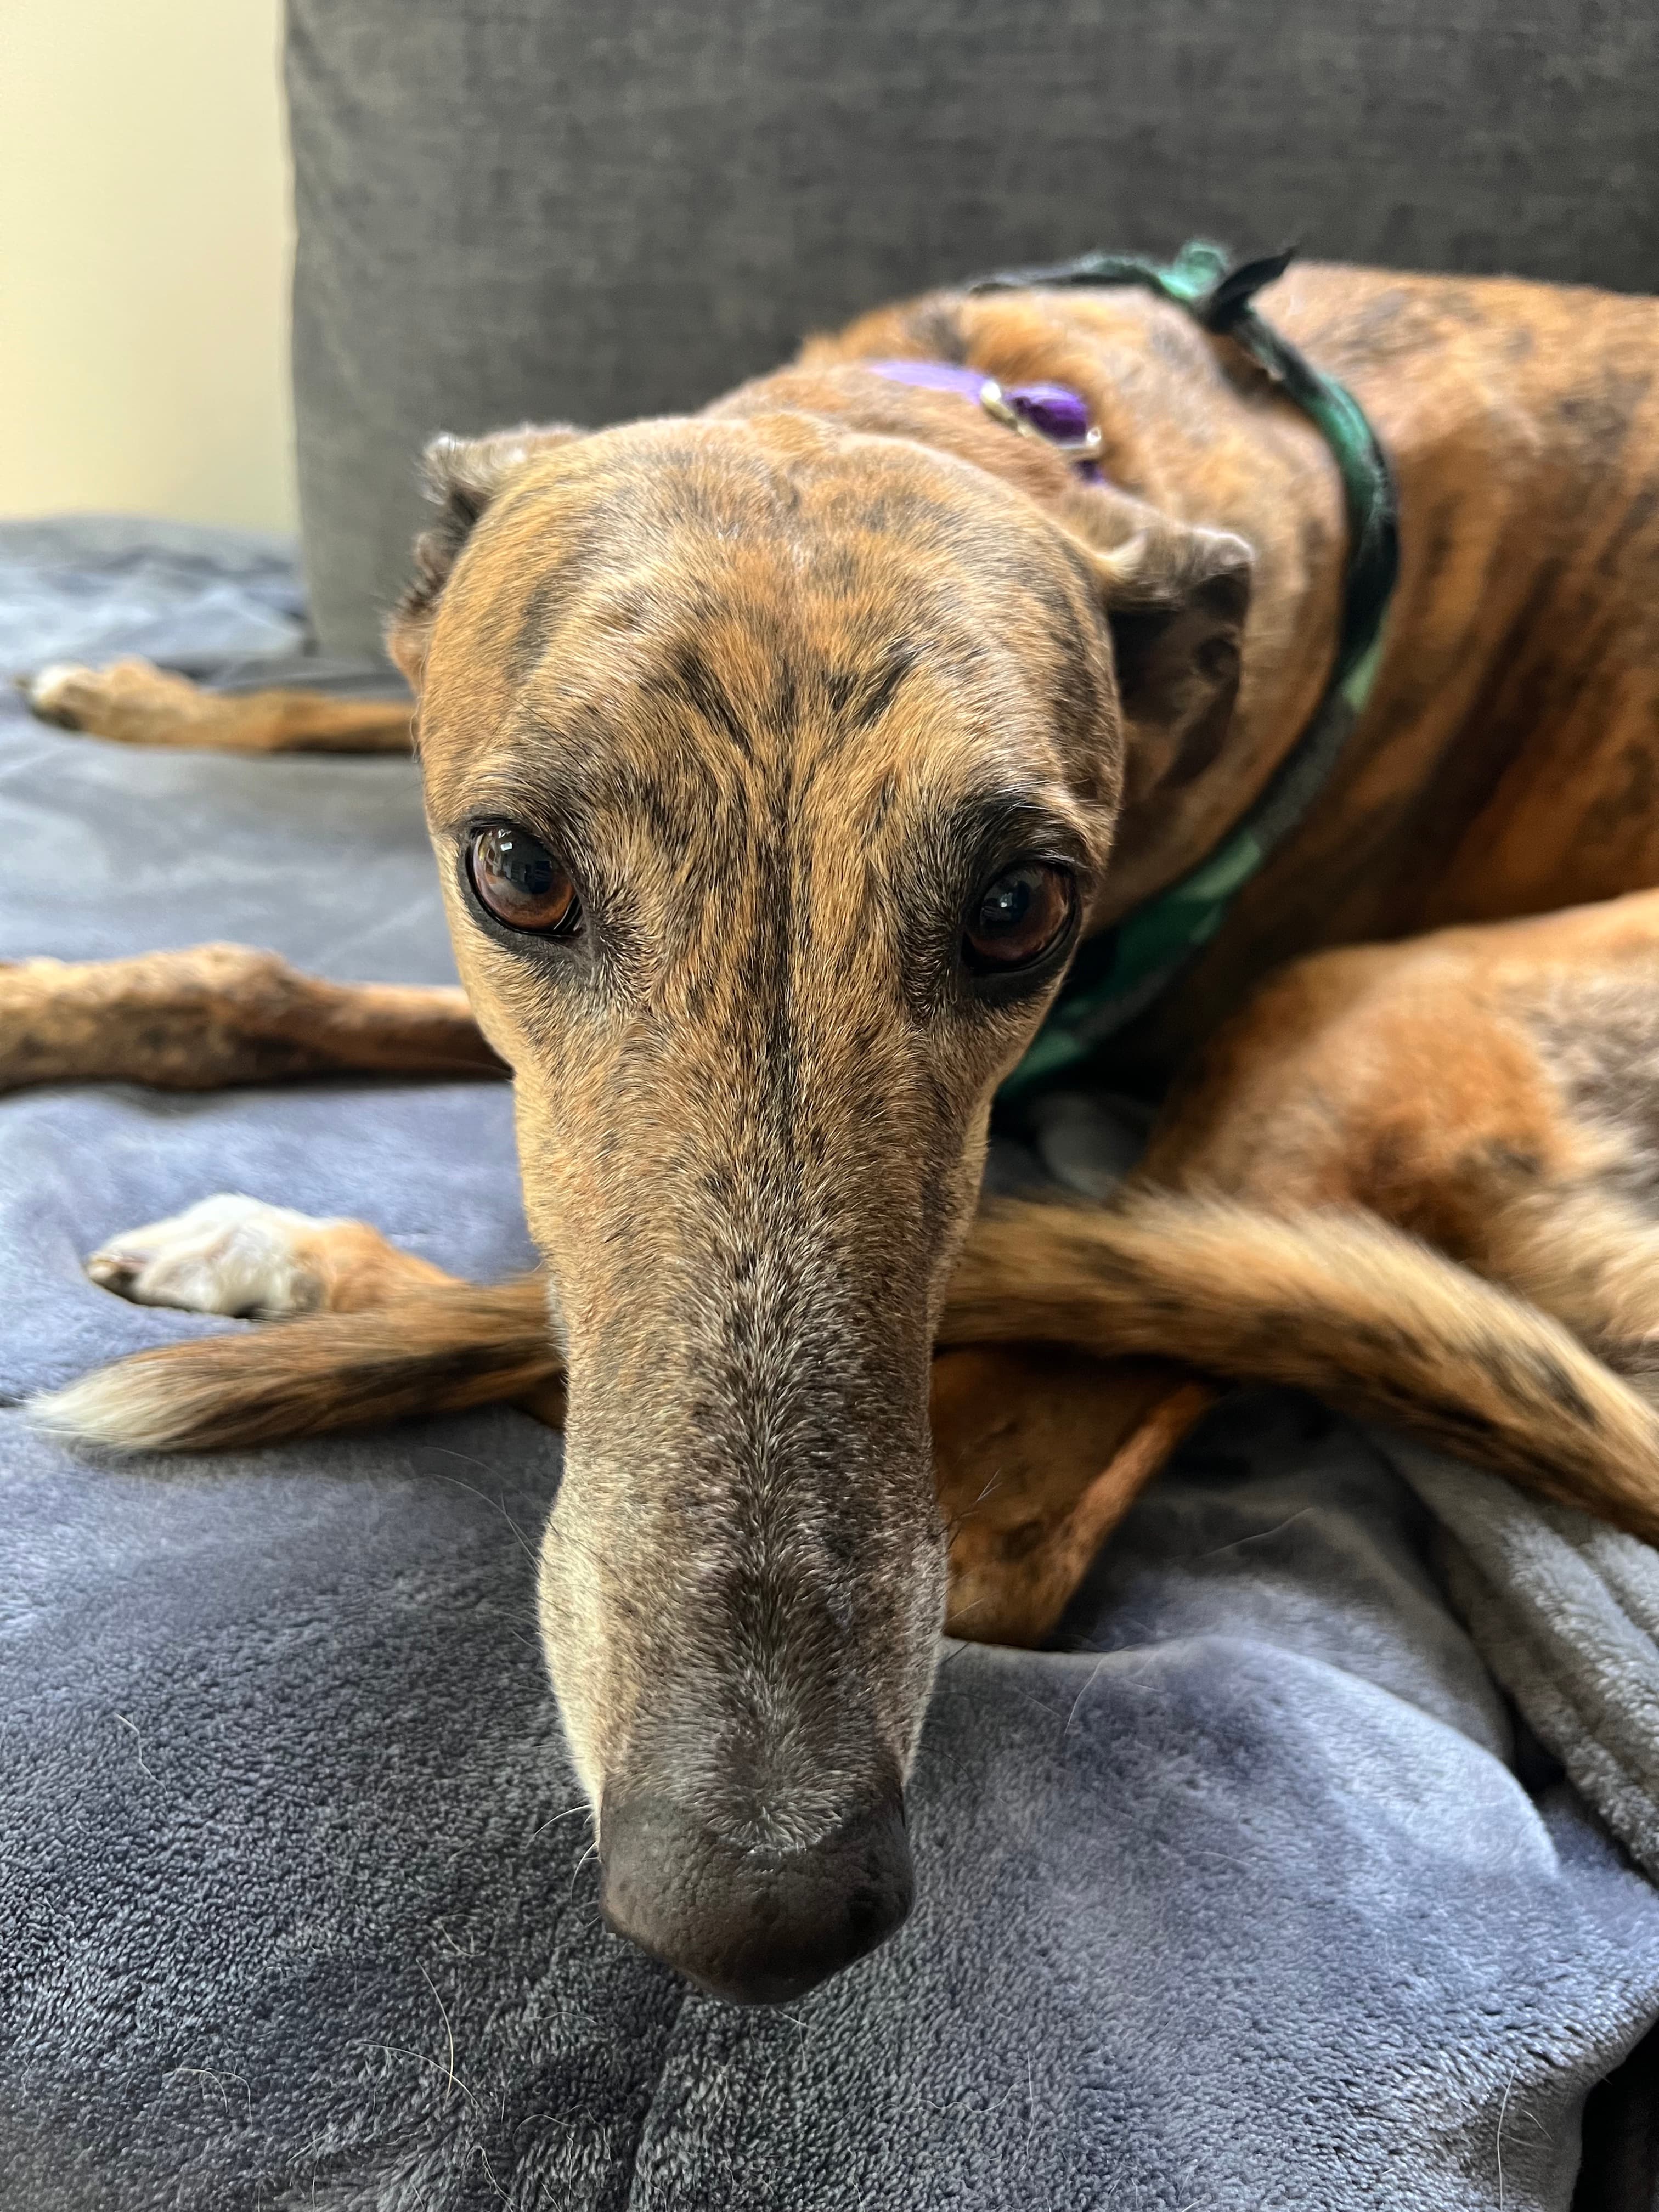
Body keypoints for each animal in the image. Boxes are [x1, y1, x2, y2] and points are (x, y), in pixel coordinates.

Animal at [9, 254, 1659, 2008]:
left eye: (1022, 908)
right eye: (516, 869)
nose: (755, 1903)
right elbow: (289, 900)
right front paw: (125, 725)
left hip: (1349, 1014)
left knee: (991, 1524)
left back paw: (288, 1264)